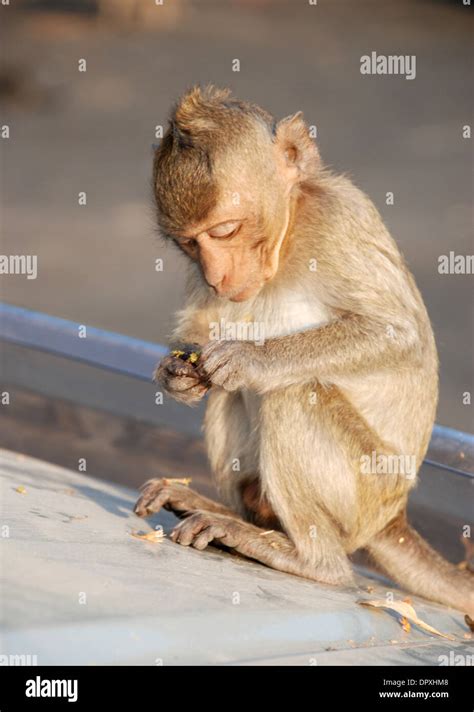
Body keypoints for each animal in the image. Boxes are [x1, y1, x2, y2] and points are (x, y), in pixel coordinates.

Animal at [134, 86, 474, 616]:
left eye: (226, 230)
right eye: (189, 244)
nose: (216, 274)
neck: (289, 237)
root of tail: (392, 518)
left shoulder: (337, 219)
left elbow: (399, 335)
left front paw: (252, 359)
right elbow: (202, 328)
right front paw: (176, 374)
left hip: (365, 492)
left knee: (293, 393)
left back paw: (311, 560)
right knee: (230, 395)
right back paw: (230, 515)